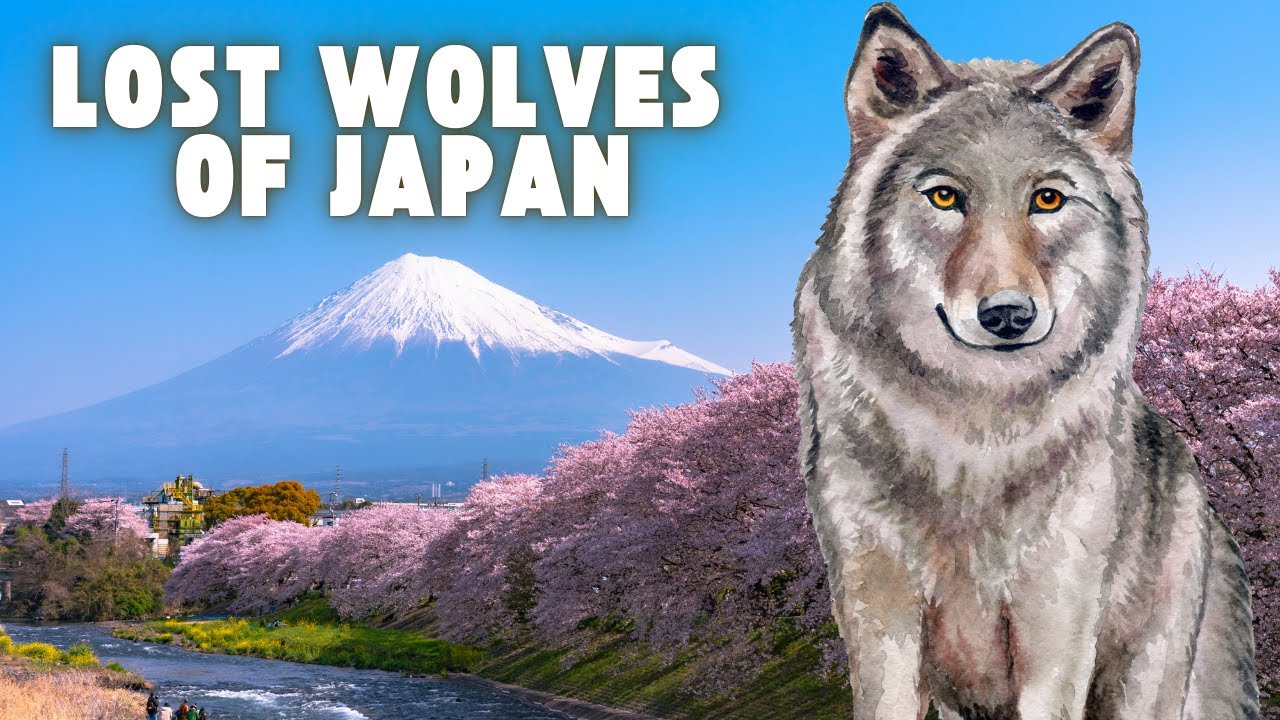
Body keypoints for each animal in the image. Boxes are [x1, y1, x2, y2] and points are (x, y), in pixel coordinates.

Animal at [792, 5, 1259, 719]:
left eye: (1047, 200)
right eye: (945, 198)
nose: (1008, 315)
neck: (973, 441)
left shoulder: (1056, 624)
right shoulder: (879, 620)